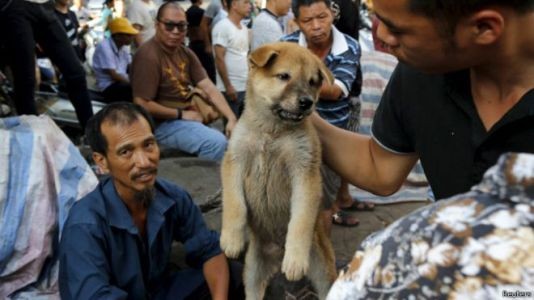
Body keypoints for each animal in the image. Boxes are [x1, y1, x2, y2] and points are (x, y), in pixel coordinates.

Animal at [220, 42, 338, 300]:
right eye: (284, 76)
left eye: (313, 82)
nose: (307, 102)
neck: (271, 132)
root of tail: (276, 254)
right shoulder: (234, 161)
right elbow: (235, 205)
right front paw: (232, 239)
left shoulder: (304, 172)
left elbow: (300, 220)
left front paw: (295, 259)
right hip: (253, 272)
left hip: (323, 271)